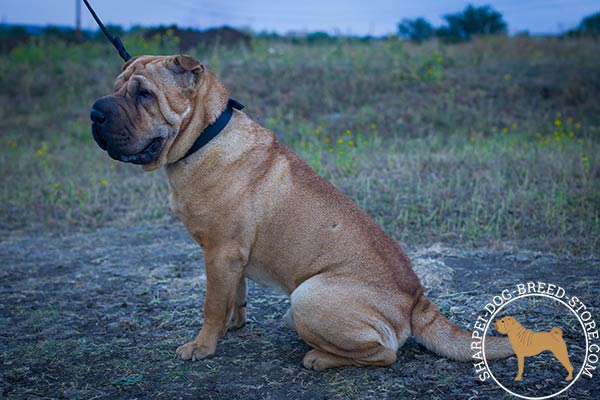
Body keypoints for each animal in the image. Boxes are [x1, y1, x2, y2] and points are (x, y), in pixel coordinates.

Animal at [91, 54, 512, 370]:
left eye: (144, 94)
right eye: (116, 86)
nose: (95, 111)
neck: (205, 137)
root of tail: (416, 301)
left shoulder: (220, 253)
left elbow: (211, 304)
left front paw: (202, 346)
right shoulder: (230, 258)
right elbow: (234, 295)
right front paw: (232, 326)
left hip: (306, 299)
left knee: (384, 354)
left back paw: (319, 358)